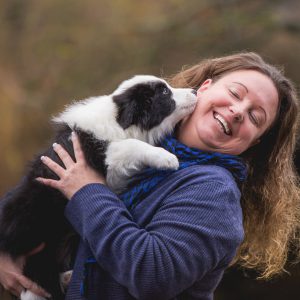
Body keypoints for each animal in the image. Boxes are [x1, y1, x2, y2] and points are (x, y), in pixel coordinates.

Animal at [0, 75, 197, 300]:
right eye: (164, 92)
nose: (195, 90)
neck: (119, 121)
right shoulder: (106, 157)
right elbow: (132, 145)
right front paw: (167, 158)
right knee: (39, 278)